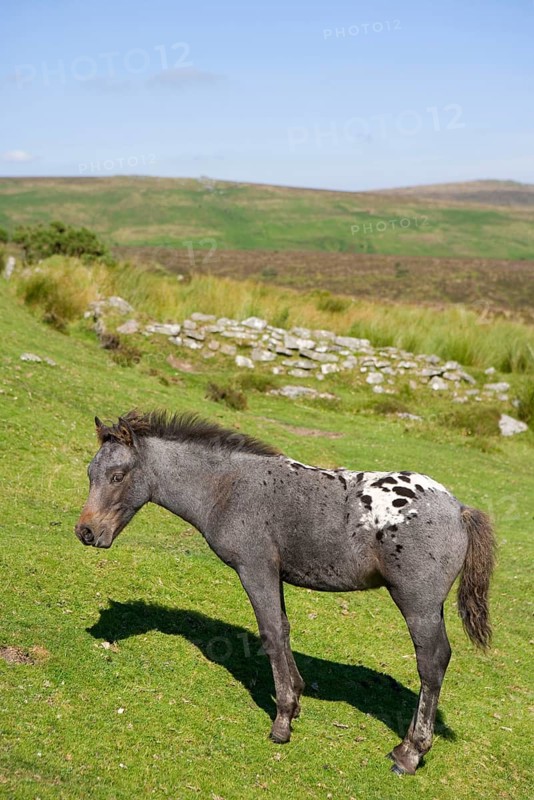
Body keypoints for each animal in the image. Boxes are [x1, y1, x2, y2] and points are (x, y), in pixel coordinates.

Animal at [75, 410, 495, 775]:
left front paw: (282, 722)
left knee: (432, 662)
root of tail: (459, 509)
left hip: (417, 604)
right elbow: (285, 629)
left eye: (117, 476)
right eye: (91, 472)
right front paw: (294, 703)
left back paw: (410, 752)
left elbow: (271, 634)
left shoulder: (255, 568)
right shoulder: (274, 574)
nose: (86, 532)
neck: (227, 488)